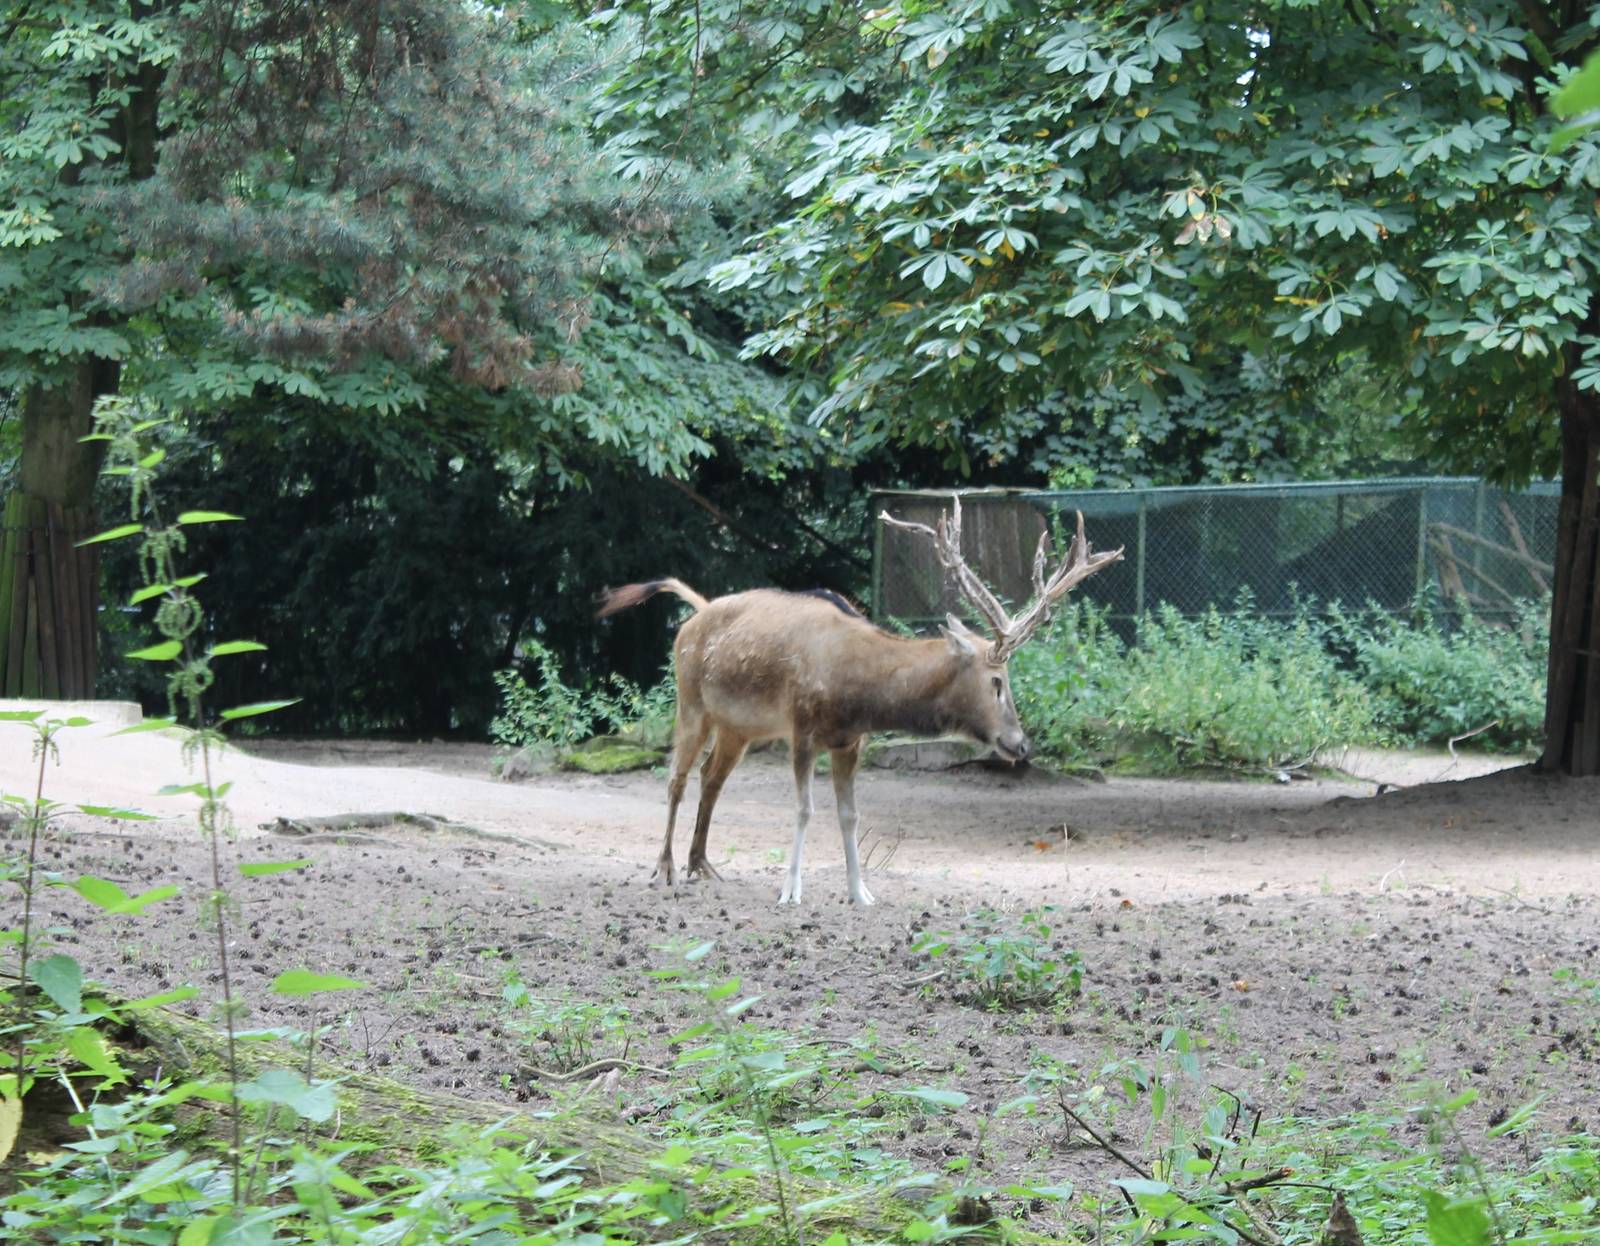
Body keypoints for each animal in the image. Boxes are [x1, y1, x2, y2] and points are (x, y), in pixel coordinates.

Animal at [597, 500, 1122, 905]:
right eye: (997, 680)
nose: (1020, 743)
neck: (859, 690)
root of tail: (695, 614)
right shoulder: (802, 727)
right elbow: (804, 809)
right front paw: (791, 892)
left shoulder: (851, 742)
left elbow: (850, 815)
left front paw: (861, 892)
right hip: (690, 700)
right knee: (676, 777)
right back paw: (664, 867)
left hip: (739, 726)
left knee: (711, 777)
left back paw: (702, 864)